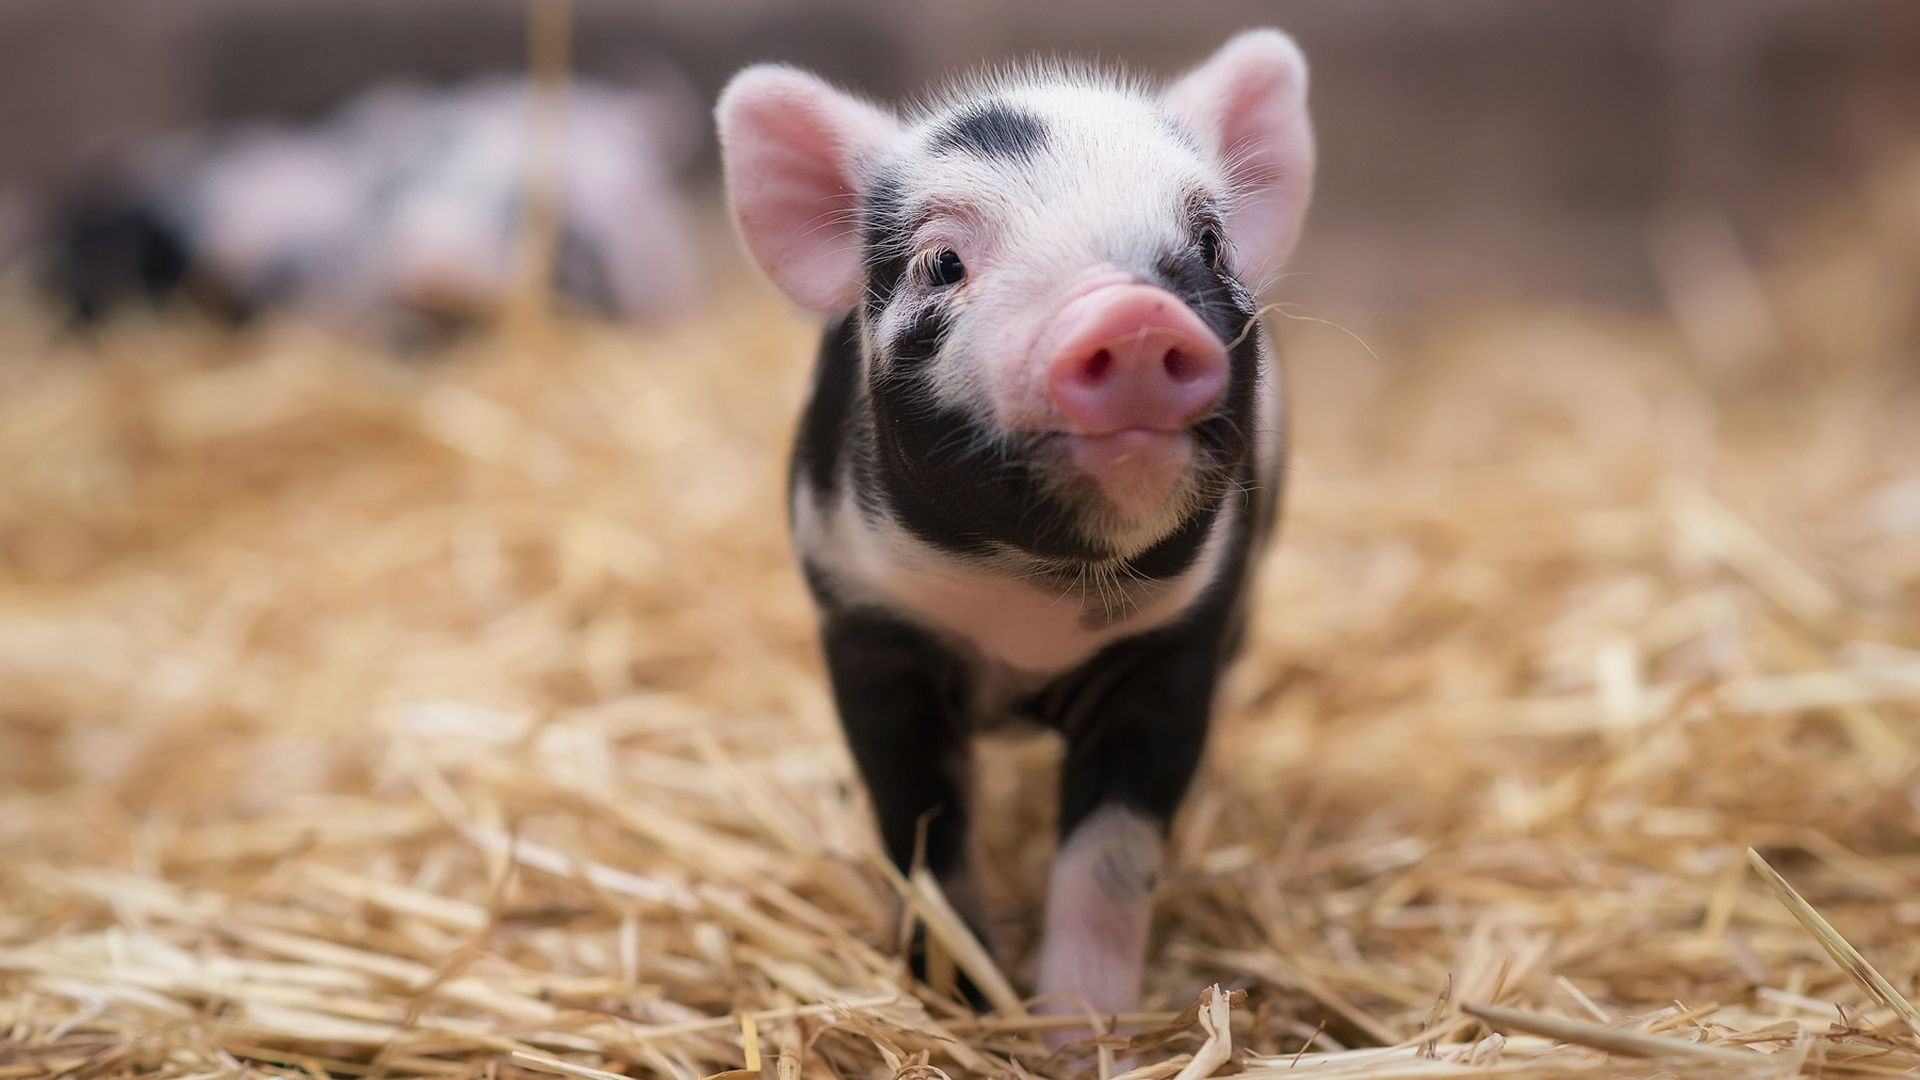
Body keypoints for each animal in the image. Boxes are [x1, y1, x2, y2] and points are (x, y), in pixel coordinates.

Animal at [717, 29, 1314, 1030]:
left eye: (1207, 240)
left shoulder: (1175, 653)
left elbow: (1110, 864)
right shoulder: (870, 635)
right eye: (943, 263)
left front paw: (1083, 1034)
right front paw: (961, 1007)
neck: (1028, 617)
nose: (1135, 314)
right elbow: (922, 834)